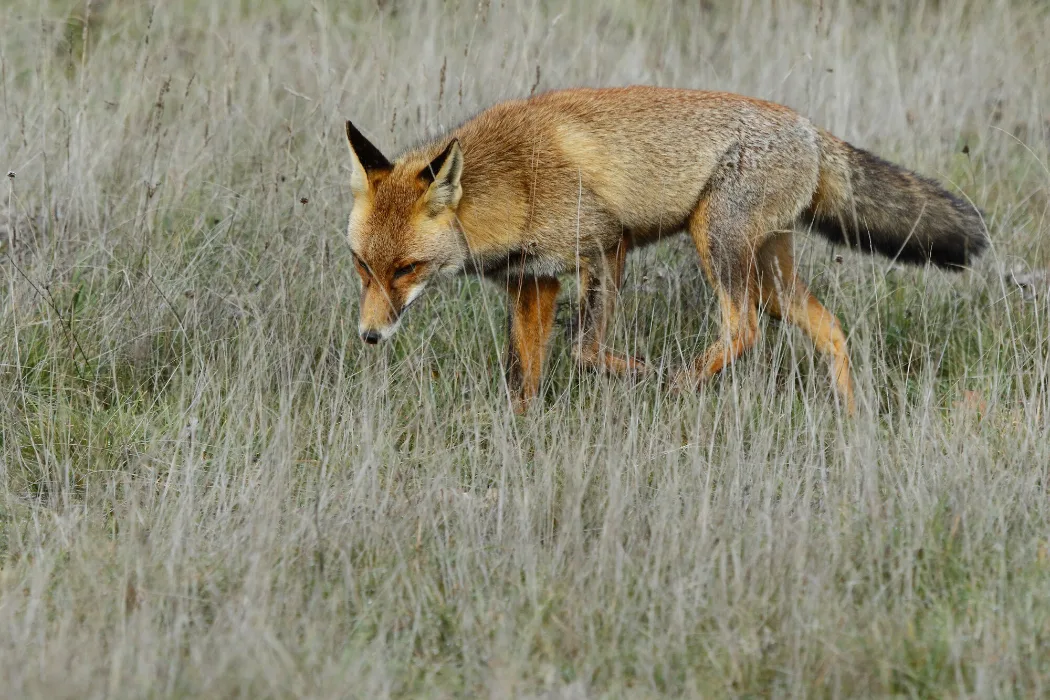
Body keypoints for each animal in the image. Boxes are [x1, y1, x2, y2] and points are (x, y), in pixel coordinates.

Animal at [343, 86, 987, 414]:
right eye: (362, 266)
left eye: (407, 268)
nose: (369, 337)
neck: (514, 180)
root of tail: (807, 127)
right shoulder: (534, 280)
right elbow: (523, 375)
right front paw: (521, 434)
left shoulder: (605, 245)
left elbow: (583, 351)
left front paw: (643, 375)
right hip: (770, 274)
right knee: (829, 328)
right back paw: (852, 421)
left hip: (717, 241)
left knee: (743, 328)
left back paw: (680, 382)